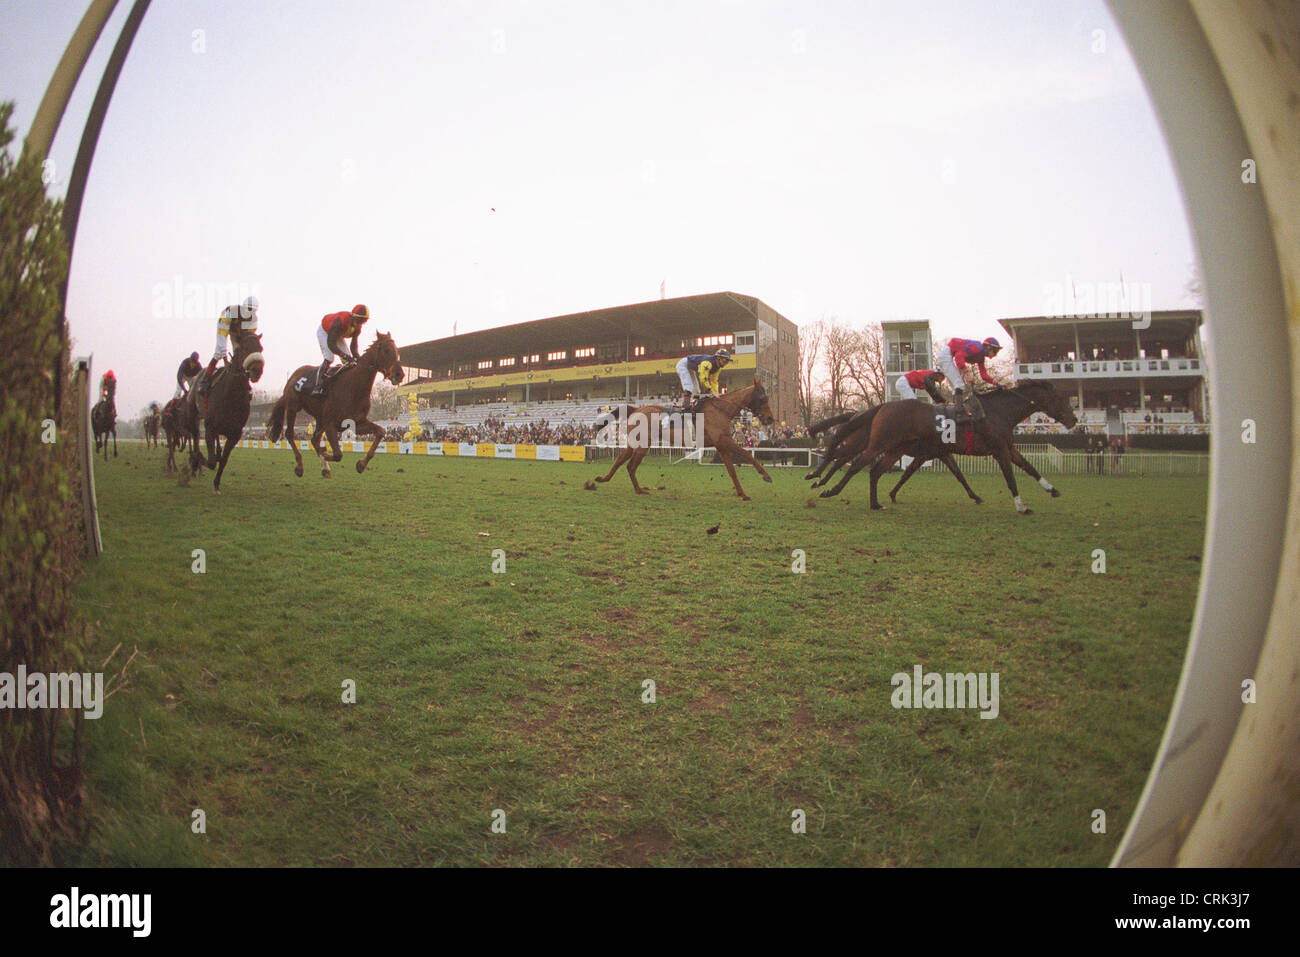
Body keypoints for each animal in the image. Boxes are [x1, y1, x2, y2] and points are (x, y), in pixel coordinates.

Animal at [182, 330, 265, 494]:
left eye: (260, 348)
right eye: (244, 348)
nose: (257, 370)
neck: (231, 396)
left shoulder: (235, 433)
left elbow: (224, 460)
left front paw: (216, 483)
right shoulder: (209, 428)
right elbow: (211, 461)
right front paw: (198, 460)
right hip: (193, 416)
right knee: (195, 436)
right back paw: (194, 461)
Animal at [265, 332, 403, 478]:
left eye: (397, 351)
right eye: (386, 350)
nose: (399, 374)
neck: (354, 387)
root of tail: (293, 377)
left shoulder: (356, 423)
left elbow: (380, 432)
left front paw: (361, 464)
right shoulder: (330, 424)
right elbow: (337, 454)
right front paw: (325, 452)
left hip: (319, 418)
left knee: (314, 439)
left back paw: (325, 468)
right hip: (293, 407)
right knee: (290, 434)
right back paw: (300, 466)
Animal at [595, 377, 774, 501]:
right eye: (763, 398)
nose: (770, 418)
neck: (720, 410)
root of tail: (636, 409)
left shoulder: (721, 446)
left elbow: (732, 471)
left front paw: (742, 493)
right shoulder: (724, 441)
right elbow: (747, 454)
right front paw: (765, 475)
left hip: (636, 443)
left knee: (620, 460)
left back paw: (604, 479)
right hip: (642, 445)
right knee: (631, 466)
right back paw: (638, 489)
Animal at [816, 382, 1081, 514]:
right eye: (1062, 399)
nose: (1074, 420)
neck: (998, 411)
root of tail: (882, 406)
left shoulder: (1006, 448)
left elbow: (1030, 468)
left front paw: (1052, 489)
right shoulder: (998, 450)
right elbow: (1010, 478)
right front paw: (1021, 506)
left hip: (892, 449)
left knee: (871, 470)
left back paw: (873, 502)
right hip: (878, 443)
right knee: (853, 464)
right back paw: (827, 488)